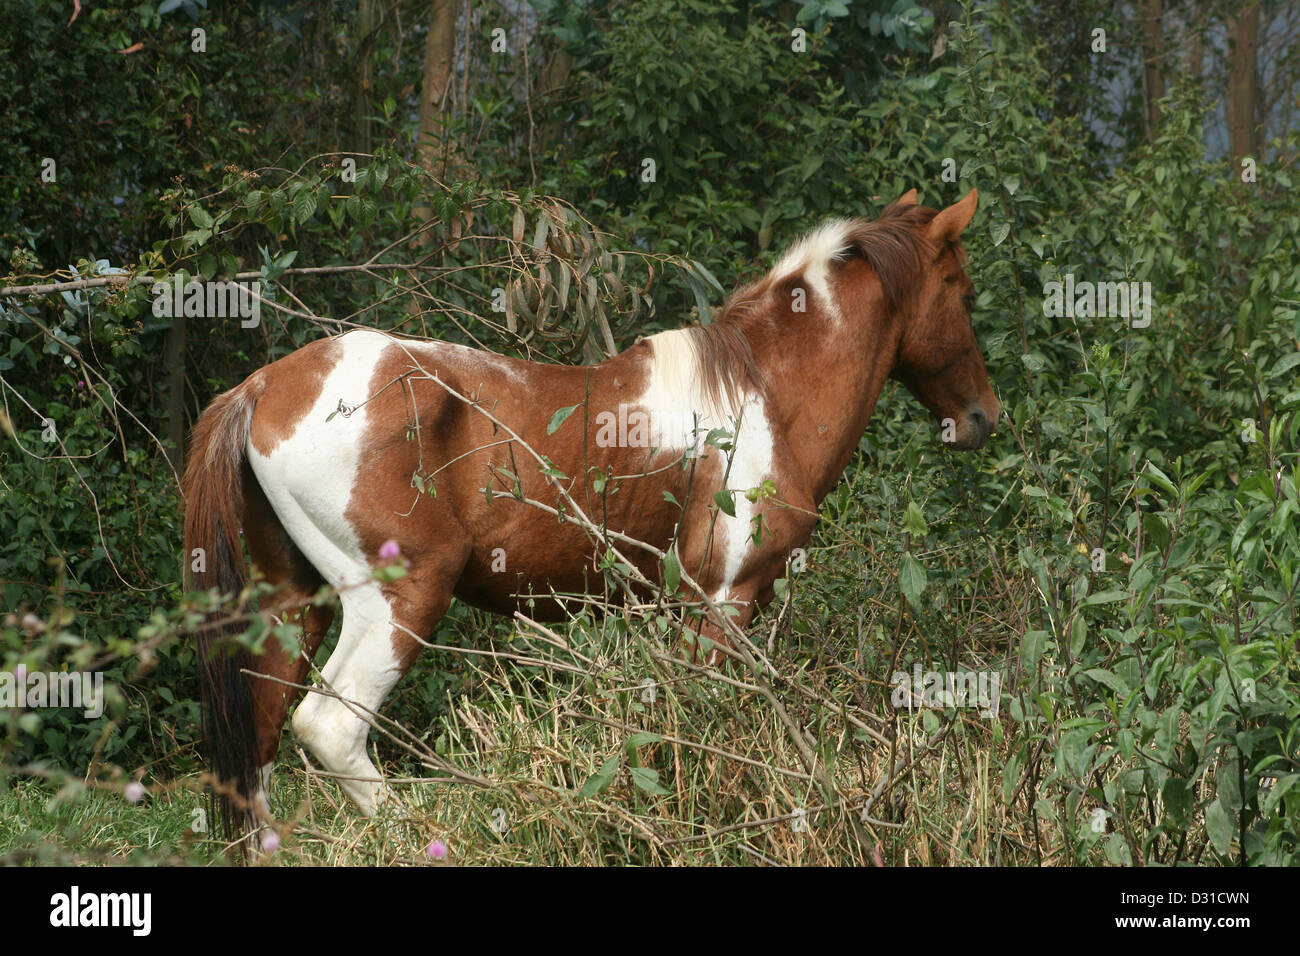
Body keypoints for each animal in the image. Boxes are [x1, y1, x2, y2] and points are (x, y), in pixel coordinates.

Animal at [180, 188, 993, 853]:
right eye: (964, 293)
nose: (983, 416)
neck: (764, 397)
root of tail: (261, 388)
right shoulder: (722, 604)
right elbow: (697, 733)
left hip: (294, 607)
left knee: (259, 744)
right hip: (401, 597)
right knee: (331, 728)